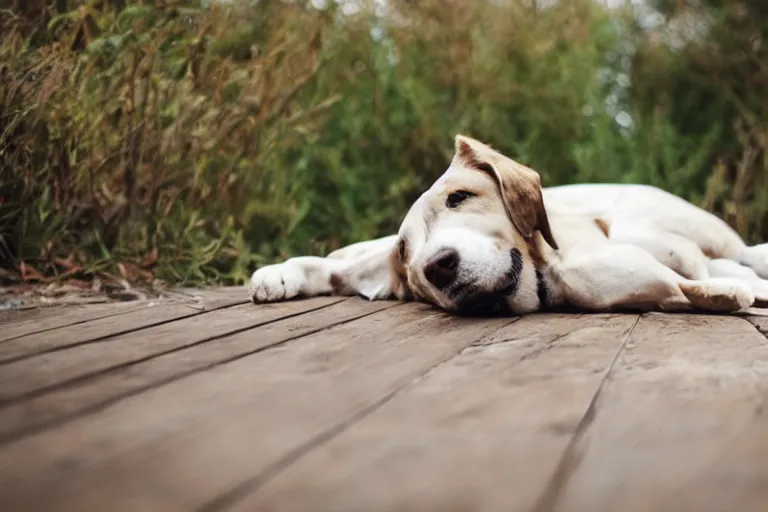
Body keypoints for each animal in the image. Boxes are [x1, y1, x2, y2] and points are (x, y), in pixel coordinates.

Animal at [246, 134, 768, 314]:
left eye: (460, 197)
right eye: (407, 253)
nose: (438, 266)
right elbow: (325, 264)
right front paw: (278, 276)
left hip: (657, 230)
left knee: (731, 260)